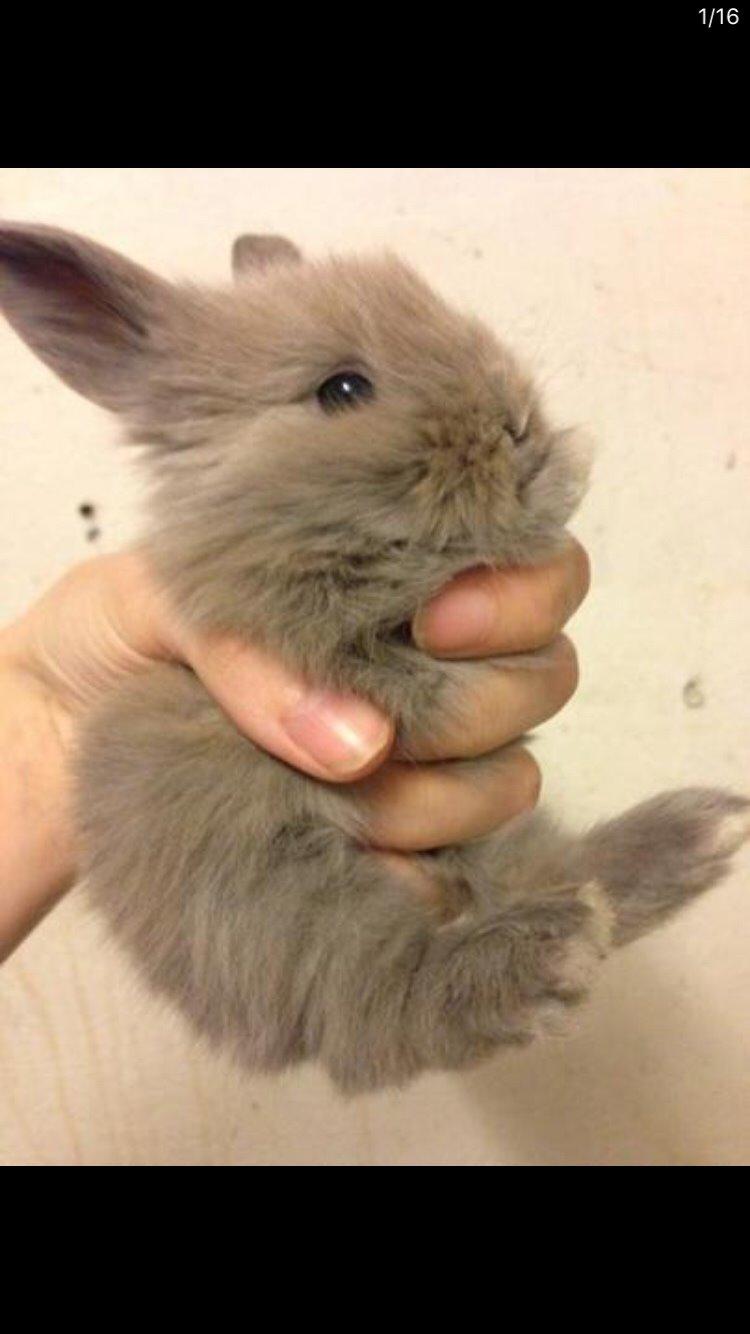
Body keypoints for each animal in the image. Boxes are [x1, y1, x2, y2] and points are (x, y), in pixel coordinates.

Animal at [0, 222, 747, 1093]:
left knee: (545, 872)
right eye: (344, 390)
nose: (517, 422)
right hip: (272, 897)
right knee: (377, 1012)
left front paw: (554, 470)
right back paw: (545, 952)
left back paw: (697, 833)